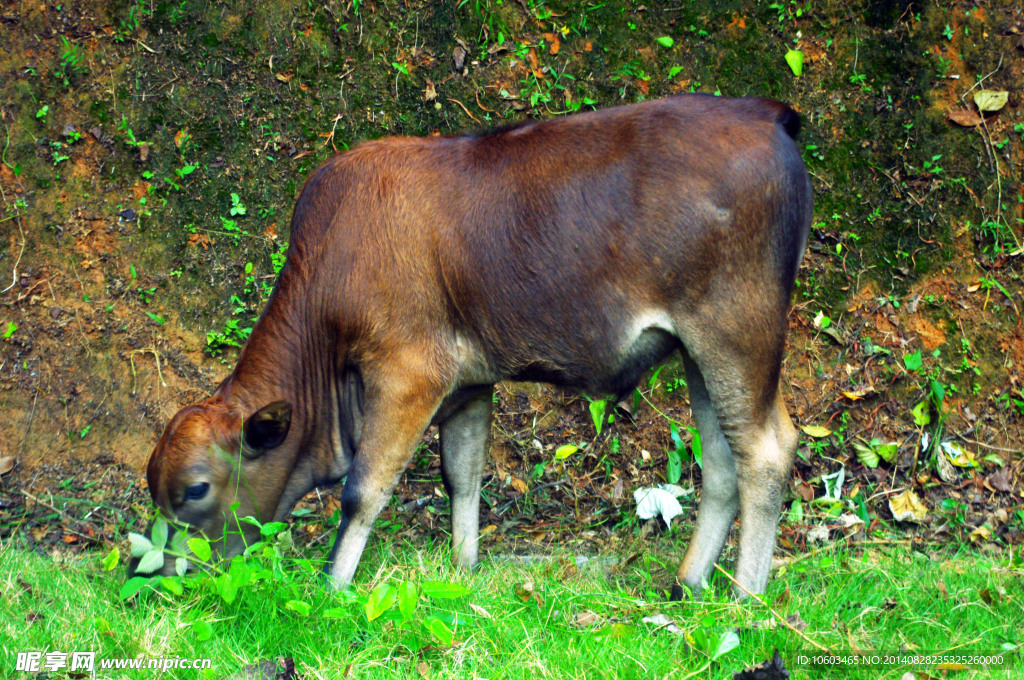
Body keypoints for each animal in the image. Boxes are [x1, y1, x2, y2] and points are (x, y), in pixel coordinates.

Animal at [132, 94, 811, 593]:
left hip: (736, 332)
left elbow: (363, 489)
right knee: (722, 462)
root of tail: (764, 112)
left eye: (195, 489)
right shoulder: (467, 382)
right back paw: (689, 585)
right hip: (699, 354)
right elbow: (462, 475)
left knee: (766, 452)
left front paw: (331, 590)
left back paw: (744, 599)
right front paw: (463, 571)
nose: (162, 578)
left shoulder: (408, 375)